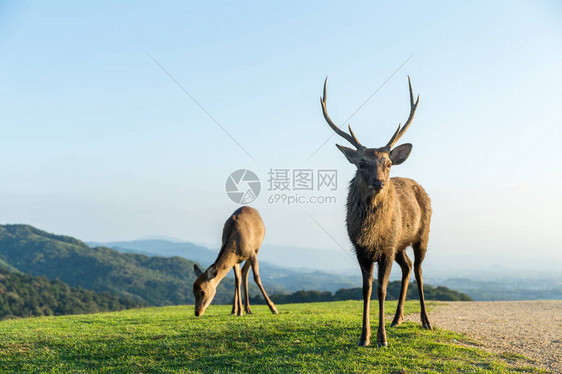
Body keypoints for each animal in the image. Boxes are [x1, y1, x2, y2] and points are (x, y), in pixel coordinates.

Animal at [318, 76, 430, 348]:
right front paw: (364, 337)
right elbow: (366, 289)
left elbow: (381, 290)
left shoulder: (387, 248)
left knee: (419, 270)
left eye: (387, 163)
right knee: (408, 266)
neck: (372, 234)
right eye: (361, 163)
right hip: (400, 244)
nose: (379, 183)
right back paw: (397, 319)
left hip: (423, 234)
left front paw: (382, 339)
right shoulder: (360, 249)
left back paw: (425, 321)